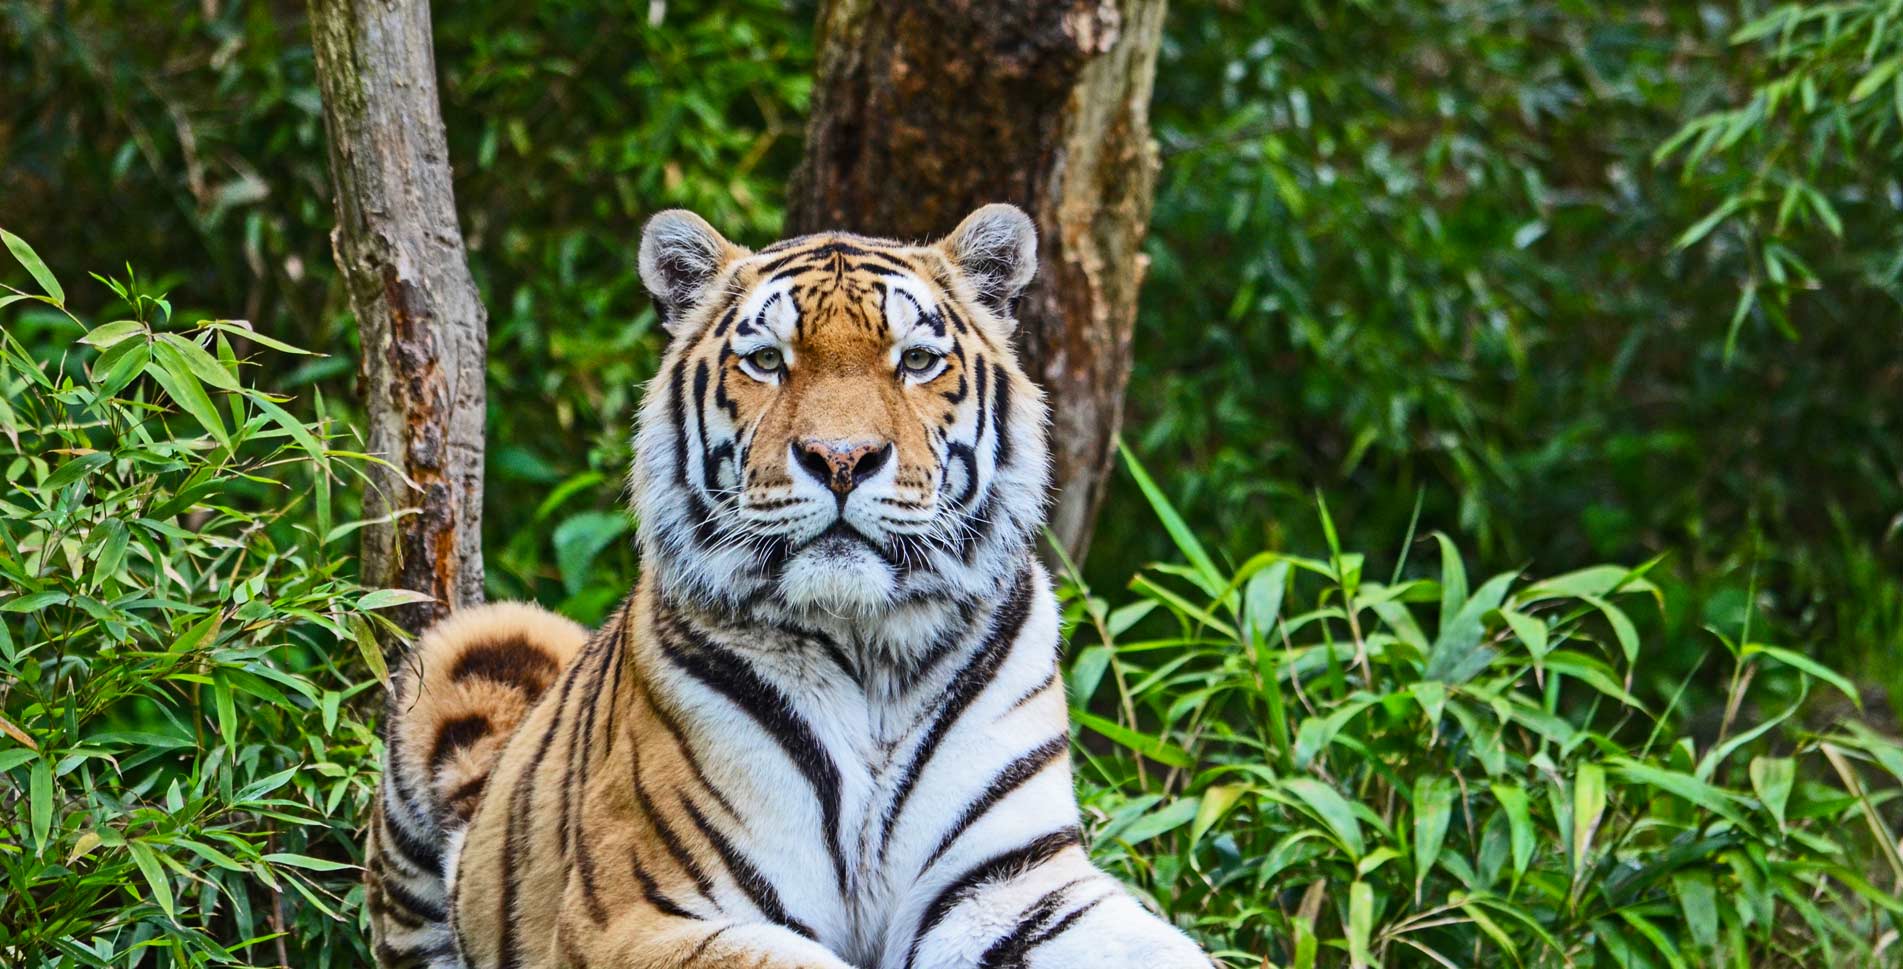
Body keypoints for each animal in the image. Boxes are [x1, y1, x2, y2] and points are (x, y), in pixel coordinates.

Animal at [363, 204, 1213, 969]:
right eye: (768, 361)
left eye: (915, 360)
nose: (841, 457)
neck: (870, 651)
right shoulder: (639, 913)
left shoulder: (1006, 883)